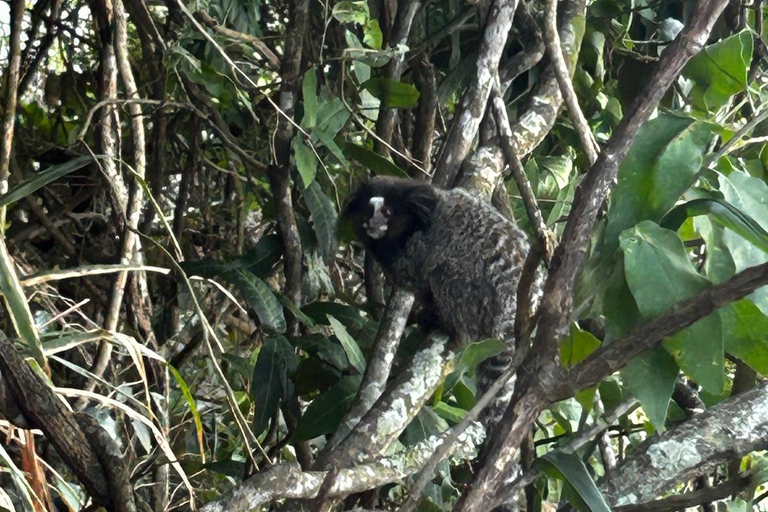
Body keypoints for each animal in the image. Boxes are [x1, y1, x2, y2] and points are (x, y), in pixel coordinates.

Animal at [344, 176, 536, 424]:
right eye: (369, 210)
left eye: (387, 212)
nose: (372, 223)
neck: (413, 224)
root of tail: (512, 303)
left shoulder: (416, 250)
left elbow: (419, 277)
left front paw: (427, 313)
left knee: (444, 274)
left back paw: (447, 325)